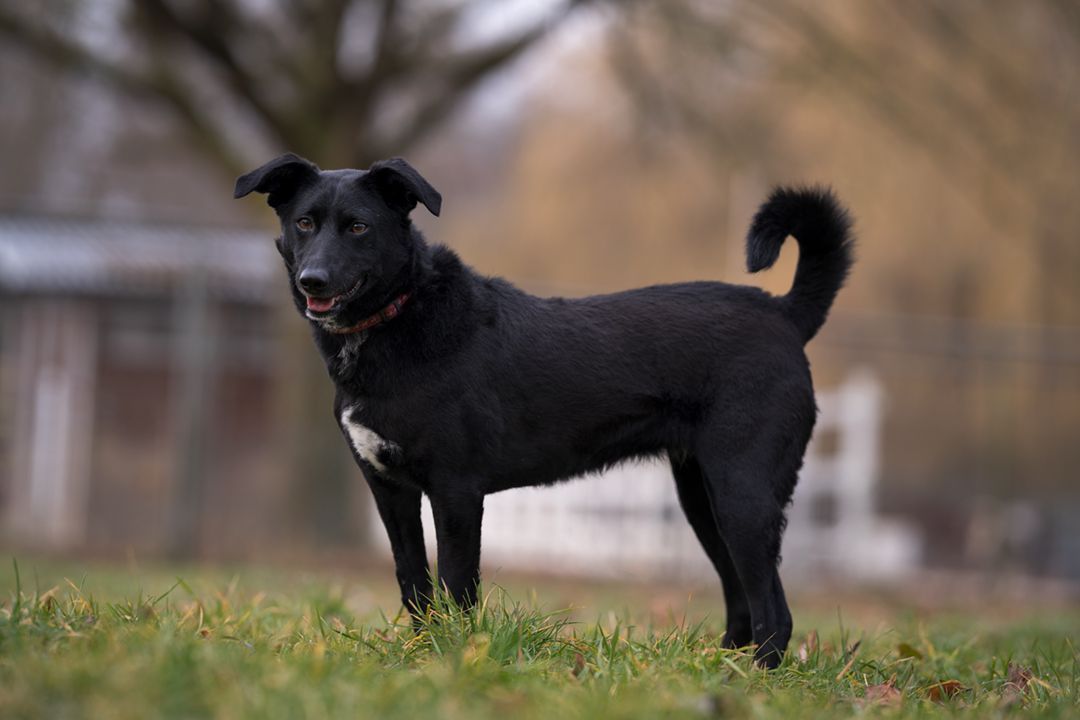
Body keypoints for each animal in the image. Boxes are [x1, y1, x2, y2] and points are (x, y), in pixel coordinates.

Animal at [234, 154, 853, 667]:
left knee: (774, 610)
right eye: (304, 223)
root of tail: (783, 312)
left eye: (359, 226)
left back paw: (754, 680)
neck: (399, 319)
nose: (313, 280)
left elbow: (457, 587)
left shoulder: (456, 492)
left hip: (743, 495)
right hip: (704, 499)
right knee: (742, 601)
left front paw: (457, 657)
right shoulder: (391, 492)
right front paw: (420, 655)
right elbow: (414, 583)